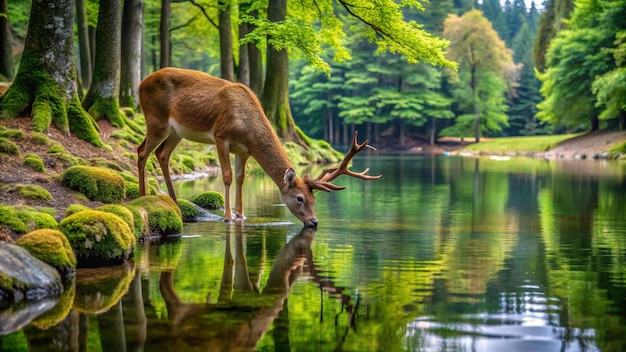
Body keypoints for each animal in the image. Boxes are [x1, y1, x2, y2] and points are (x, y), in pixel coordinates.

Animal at [138, 67, 380, 227]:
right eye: (299, 198)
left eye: (314, 199)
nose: (314, 222)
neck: (246, 126)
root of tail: (140, 84)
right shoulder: (220, 136)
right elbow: (227, 176)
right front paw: (228, 217)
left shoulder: (244, 150)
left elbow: (240, 178)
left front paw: (241, 215)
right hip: (156, 120)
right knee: (141, 151)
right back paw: (142, 195)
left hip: (176, 132)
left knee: (161, 154)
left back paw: (175, 202)